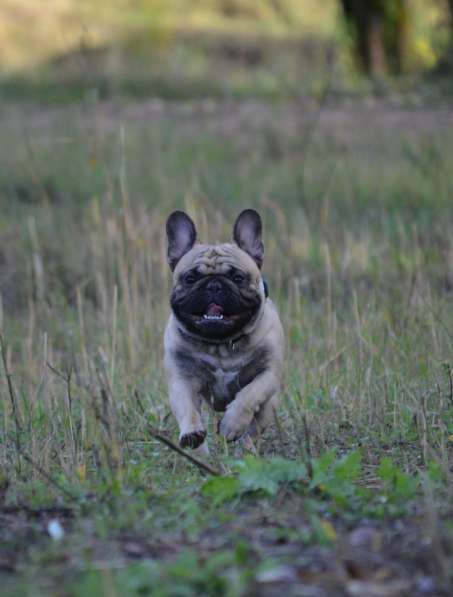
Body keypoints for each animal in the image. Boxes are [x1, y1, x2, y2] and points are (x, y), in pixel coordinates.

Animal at [162, 210, 282, 448]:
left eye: (237, 277)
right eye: (190, 278)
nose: (214, 284)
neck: (220, 345)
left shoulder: (268, 373)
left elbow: (249, 396)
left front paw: (231, 425)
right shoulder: (181, 379)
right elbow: (186, 407)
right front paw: (191, 433)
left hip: (270, 405)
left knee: (254, 427)